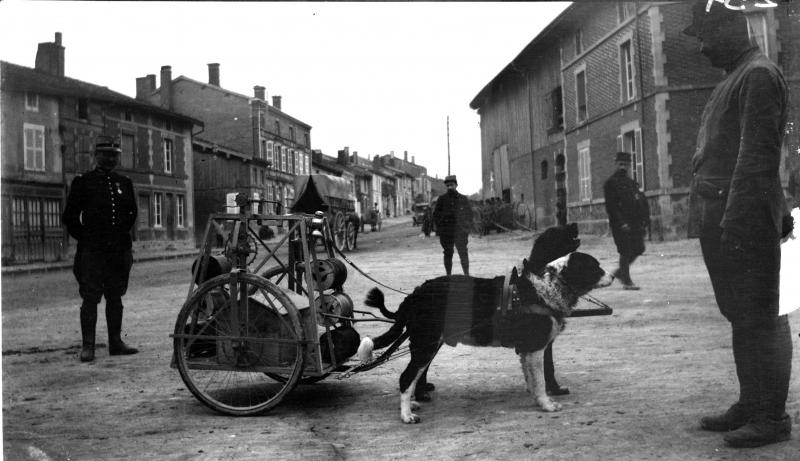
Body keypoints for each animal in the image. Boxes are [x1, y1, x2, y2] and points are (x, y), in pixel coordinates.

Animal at [357, 249, 613, 423]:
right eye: (595, 267)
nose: (613, 275)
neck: (545, 288)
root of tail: (414, 295)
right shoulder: (536, 348)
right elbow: (540, 380)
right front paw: (547, 404)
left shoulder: (526, 350)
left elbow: (530, 378)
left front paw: (536, 398)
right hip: (425, 346)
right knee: (406, 378)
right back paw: (406, 415)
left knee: (411, 377)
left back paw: (411, 404)